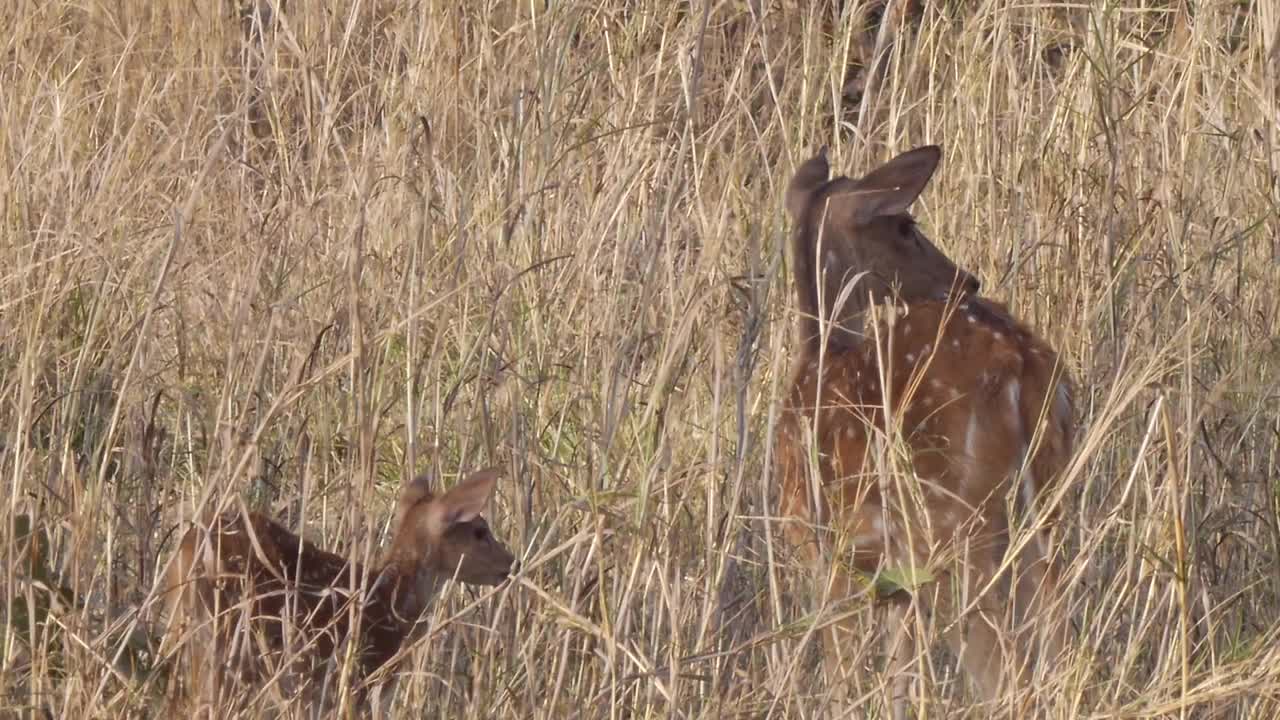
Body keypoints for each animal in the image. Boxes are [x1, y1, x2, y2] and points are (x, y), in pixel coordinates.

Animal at [161, 466, 514, 712]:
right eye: (480, 531)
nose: (511, 562)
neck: (392, 595)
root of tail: (186, 555)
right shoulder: (361, 676)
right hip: (231, 640)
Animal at [773, 146, 1075, 712]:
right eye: (906, 225)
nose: (967, 280)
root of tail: (1020, 361)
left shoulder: (822, 551)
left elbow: (842, 673)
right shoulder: (894, 585)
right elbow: (899, 679)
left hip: (948, 528)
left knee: (1008, 673)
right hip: (1041, 512)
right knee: (1059, 643)